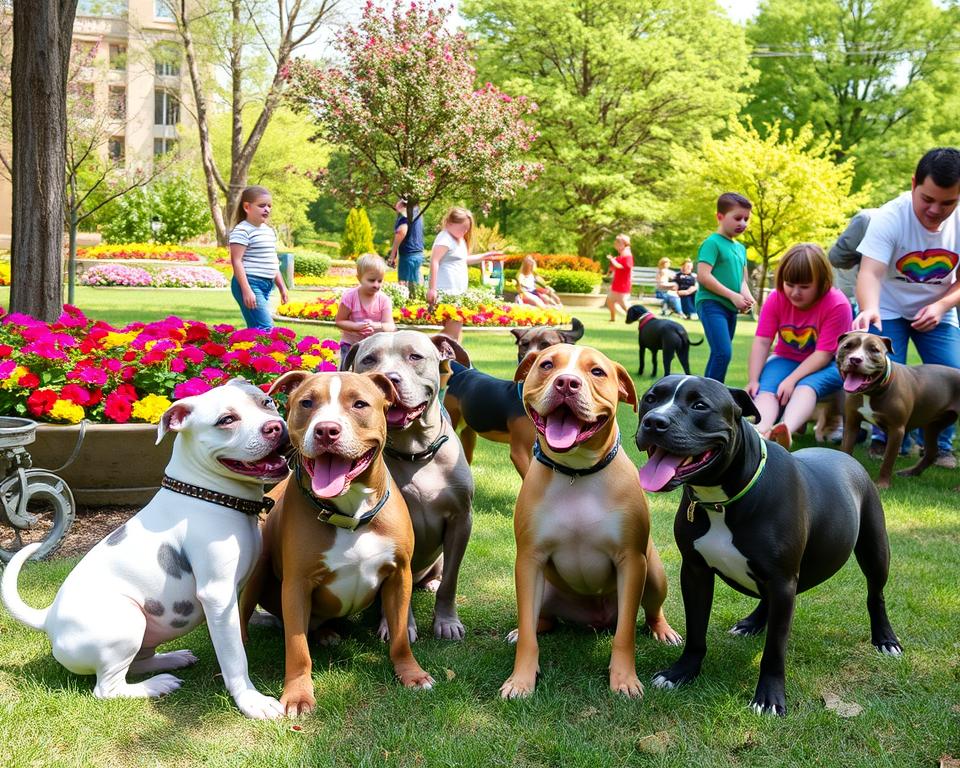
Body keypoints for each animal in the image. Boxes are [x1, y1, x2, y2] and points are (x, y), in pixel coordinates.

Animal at [1, 382, 290, 720]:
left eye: (267, 402)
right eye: (226, 420)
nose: (275, 427)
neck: (208, 494)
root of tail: (47, 619)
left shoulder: (235, 591)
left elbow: (244, 614)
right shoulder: (218, 595)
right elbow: (235, 656)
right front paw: (251, 700)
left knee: (137, 663)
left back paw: (171, 659)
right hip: (127, 619)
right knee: (107, 688)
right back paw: (157, 685)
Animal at [636, 376, 900, 716]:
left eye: (699, 405)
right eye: (651, 399)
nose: (654, 421)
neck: (723, 500)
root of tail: (846, 456)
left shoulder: (781, 578)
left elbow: (775, 648)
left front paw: (769, 697)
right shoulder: (695, 572)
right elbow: (696, 630)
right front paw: (681, 672)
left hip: (874, 550)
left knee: (875, 595)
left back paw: (885, 638)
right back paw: (752, 622)